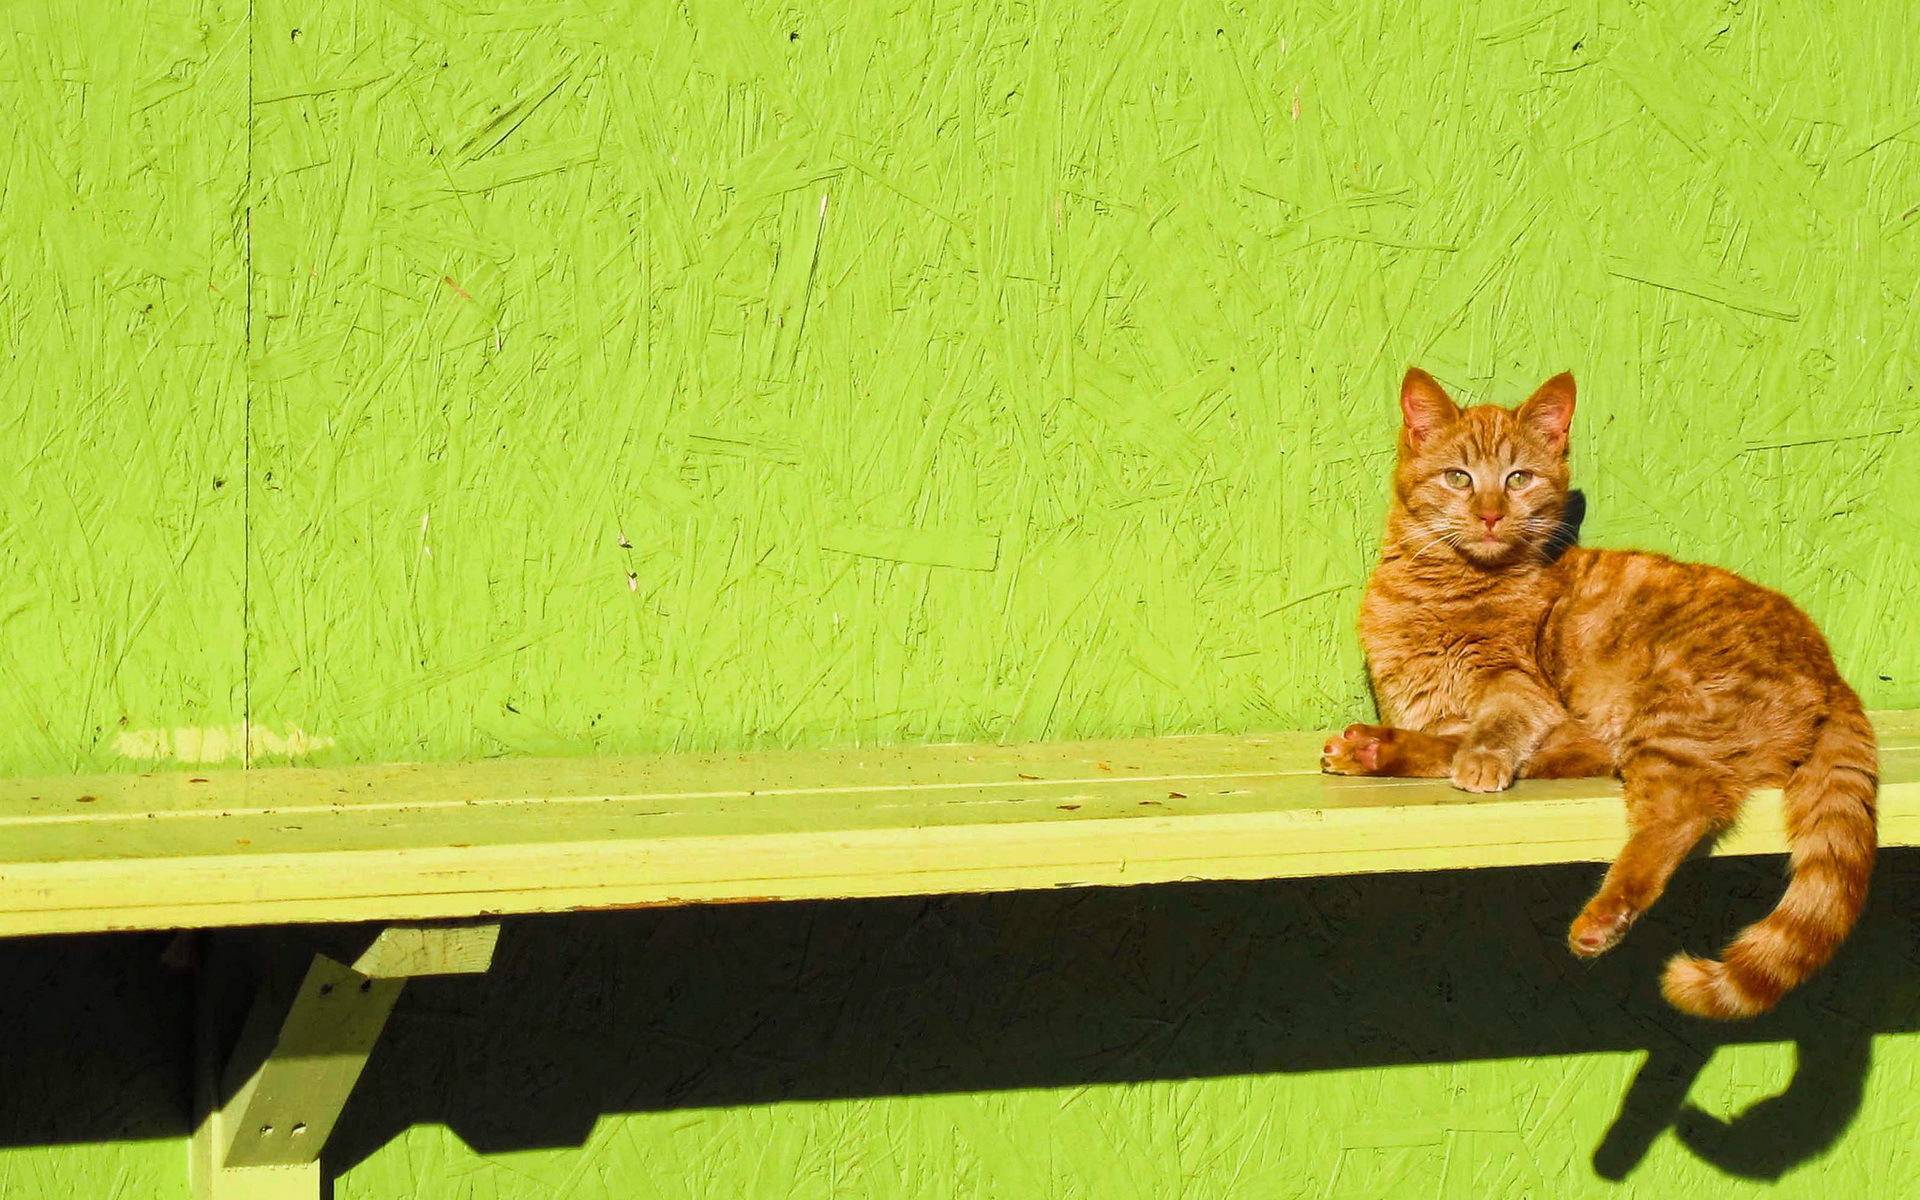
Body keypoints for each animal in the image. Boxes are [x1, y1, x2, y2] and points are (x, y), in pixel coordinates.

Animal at [1320, 370, 1873, 1013]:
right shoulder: (1429, 709)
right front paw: (1390, 746)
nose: (1490, 515)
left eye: (1518, 478)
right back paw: (1371, 750)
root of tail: (1829, 666)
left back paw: (1604, 914)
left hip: (1668, 721)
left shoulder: (1525, 690)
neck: (1444, 591)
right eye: (1459, 477)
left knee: (1681, 811)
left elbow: (1495, 726)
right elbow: (1452, 736)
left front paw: (1476, 759)